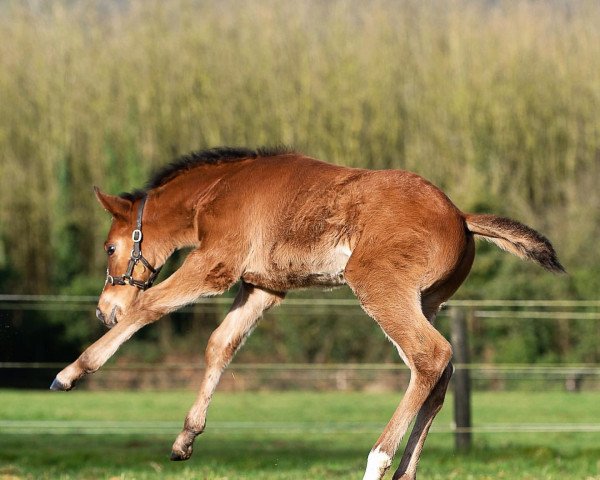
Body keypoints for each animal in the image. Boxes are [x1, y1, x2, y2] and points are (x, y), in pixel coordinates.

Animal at [50, 147, 564, 480]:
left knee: (432, 357)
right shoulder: (263, 287)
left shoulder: (215, 264)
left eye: (110, 247)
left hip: (379, 287)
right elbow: (220, 345)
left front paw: (71, 373)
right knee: (437, 373)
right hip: (426, 301)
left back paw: (377, 462)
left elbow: (150, 305)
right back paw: (403, 472)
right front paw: (185, 439)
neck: (219, 189)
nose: (104, 310)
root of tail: (461, 216)